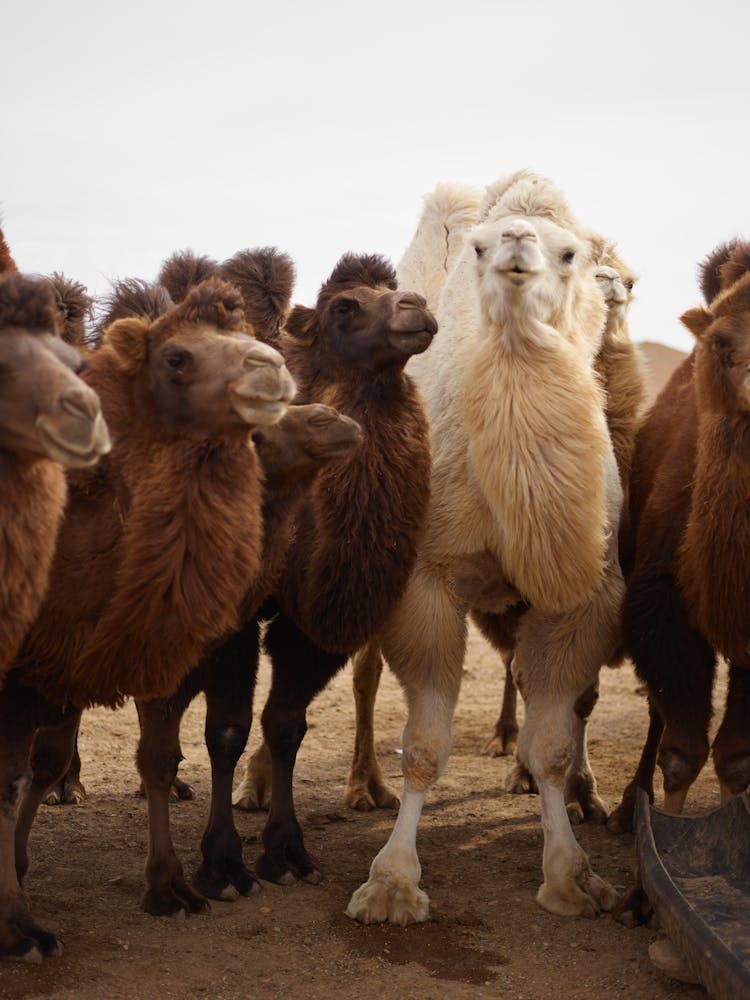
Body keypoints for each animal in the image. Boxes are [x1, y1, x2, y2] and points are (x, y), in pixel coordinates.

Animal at [0, 276, 296, 960]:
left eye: (252, 335)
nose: (270, 370)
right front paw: (20, 929)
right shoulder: (22, 673)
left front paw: (171, 888)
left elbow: (157, 759)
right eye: (176, 358)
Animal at [346, 170, 628, 920]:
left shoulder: (583, 594)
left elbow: (555, 740)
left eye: (570, 254)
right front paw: (392, 883)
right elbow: (421, 745)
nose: (518, 246)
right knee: (364, 675)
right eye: (479, 247)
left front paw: (572, 875)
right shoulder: (427, 580)